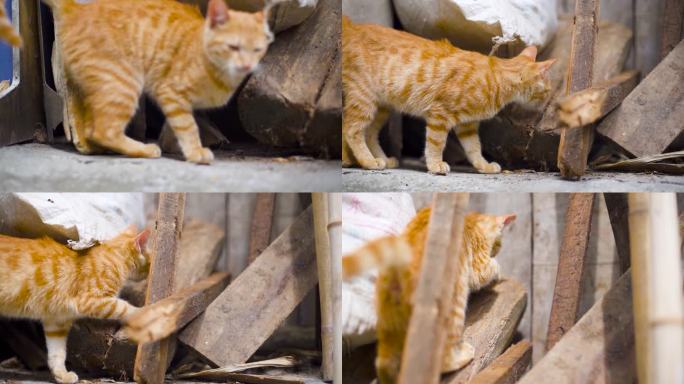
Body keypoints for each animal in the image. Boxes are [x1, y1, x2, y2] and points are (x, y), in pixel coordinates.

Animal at [0, 228, 150, 384]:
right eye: (150, 261)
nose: (149, 273)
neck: (114, 259)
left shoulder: (57, 322)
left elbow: (57, 353)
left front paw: (61, 374)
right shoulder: (90, 300)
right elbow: (123, 306)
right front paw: (146, 312)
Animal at [44, 0, 276, 163]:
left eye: (257, 50)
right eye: (233, 47)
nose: (247, 65)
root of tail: (77, 8)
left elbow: (180, 126)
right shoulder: (171, 93)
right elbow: (188, 126)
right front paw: (195, 151)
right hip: (123, 84)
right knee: (102, 130)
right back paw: (144, 149)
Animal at [342, 17, 556, 174]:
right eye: (547, 90)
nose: (549, 98)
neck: (496, 78)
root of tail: (351, 27)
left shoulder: (467, 125)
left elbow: (474, 148)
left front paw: (483, 166)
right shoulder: (439, 116)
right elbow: (436, 144)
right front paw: (435, 165)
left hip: (381, 108)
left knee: (368, 132)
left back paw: (379, 159)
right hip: (364, 99)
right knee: (351, 129)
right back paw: (367, 161)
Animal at [342, 208, 512, 382]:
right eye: (499, 243)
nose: (498, 249)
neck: (471, 219)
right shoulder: (479, 265)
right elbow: (490, 267)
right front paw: (498, 272)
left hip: (388, 325)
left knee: (384, 362)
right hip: (451, 309)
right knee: (442, 358)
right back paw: (463, 355)